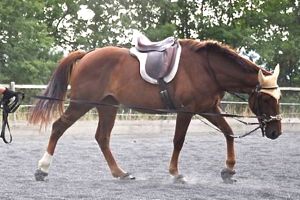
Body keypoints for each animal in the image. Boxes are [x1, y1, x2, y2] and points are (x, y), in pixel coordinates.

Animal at [29, 39, 282, 183]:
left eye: (279, 98)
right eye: (266, 99)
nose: (275, 132)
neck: (207, 69)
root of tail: (85, 56)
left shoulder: (208, 108)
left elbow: (228, 132)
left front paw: (228, 170)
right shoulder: (187, 111)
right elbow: (179, 141)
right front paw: (175, 173)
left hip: (108, 106)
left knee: (102, 137)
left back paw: (120, 173)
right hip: (82, 103)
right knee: (59, 127)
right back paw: (42, 169)